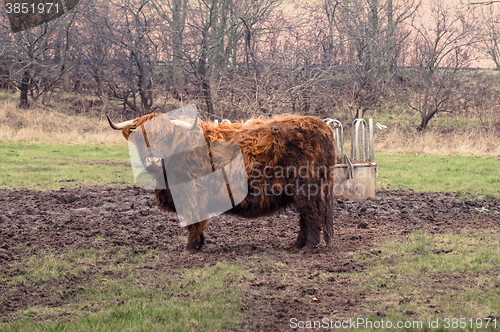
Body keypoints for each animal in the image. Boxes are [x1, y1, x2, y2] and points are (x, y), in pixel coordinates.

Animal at [109, 113, 336, 250]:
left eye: (166, 137)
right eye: (141, 138)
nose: (154, 160)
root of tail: (319, 124)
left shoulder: (192, 192)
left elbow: (194, 219)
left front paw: (191, 247)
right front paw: (198, 243)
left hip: (308, 188)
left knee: (313, 214)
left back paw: (308, 247)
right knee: (306, 216)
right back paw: (297, 244)